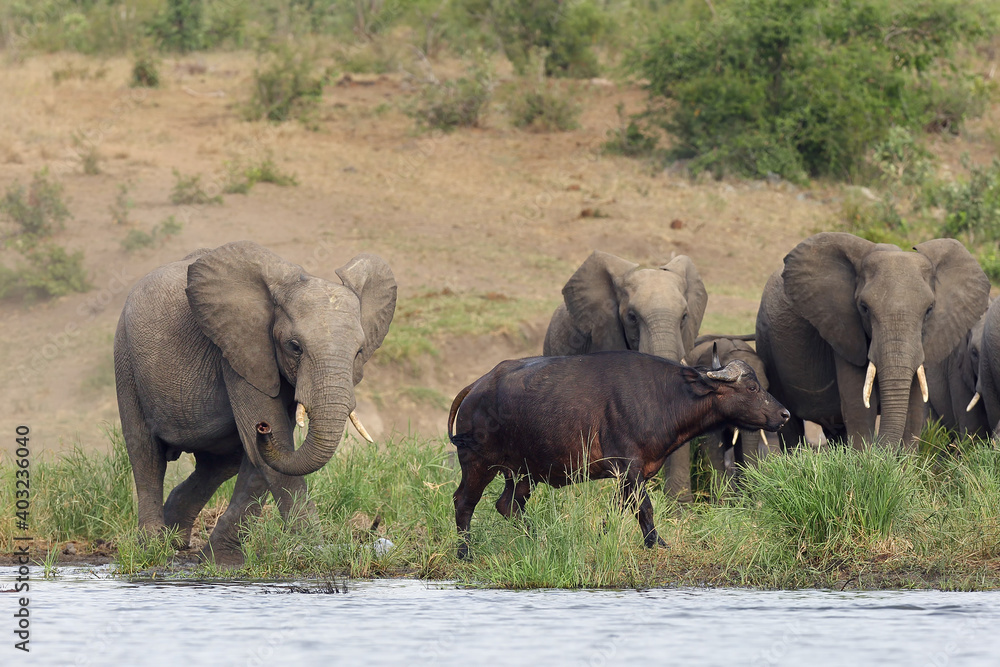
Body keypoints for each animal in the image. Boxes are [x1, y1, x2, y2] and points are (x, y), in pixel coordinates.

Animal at [115, 240, 396, 564]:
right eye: (295, 347)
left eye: (359, 351)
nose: (264, 429)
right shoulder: (240, 352)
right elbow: (273, 448)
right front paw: (316, 553)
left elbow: (260, 458)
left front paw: (221, 561)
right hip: (125, 359)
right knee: (145, 454)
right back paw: (152, 548)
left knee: (219, 465)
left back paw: (176, 539)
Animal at [448, 350, 788, 560]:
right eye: (753, 388)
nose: (784, 414)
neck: (666, 397)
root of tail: (476, 386)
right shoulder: (629, 467)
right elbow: (645, 508)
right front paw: (657, 543)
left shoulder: (631, 473)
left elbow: (620, 509)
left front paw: (602, 538)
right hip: (478, 463)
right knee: (464, 501)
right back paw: (465, 552)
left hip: (523, 472)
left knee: (508, 505)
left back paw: (539, 540)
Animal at [756, 232, 984, 452]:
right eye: (864, 308)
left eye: (929, 310)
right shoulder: (844, 329)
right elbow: (859, 409)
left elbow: (915, 410)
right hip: (766, 344)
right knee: (790, 427)